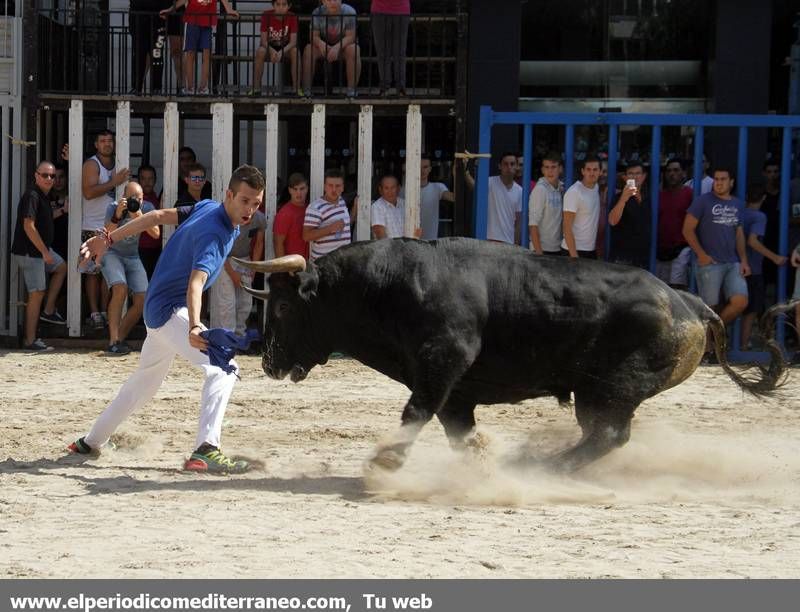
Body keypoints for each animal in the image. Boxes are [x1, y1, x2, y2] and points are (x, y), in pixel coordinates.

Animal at [234, 239, 784, 474]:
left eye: (281, 306)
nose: (268, 362)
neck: (386, 285)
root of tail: (690, 304)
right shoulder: (457, 393)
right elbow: (459, 434)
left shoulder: (443, 362)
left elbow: (415, 412)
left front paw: (387, 460)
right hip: (601, 393)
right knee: (604, 436)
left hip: (608, 391)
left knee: (608, 434)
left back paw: (544, 467)